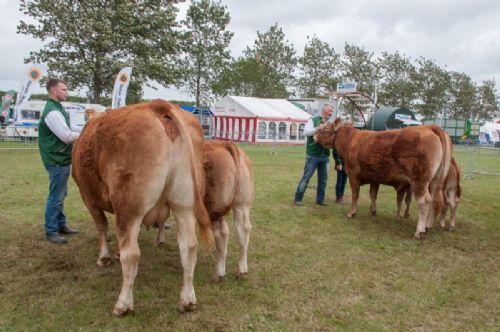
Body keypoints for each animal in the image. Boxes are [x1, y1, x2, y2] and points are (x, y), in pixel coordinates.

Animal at [71, 99, 212, 316]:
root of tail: (158, 105)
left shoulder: (88, 197)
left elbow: (101, 226)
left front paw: (104, 257)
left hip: (129, 207)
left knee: (132, 254)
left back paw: (123, 304)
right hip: (184, 204)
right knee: (189, 246)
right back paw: (187, 301)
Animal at [157, 141, 254, 278]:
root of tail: (223, 144)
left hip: (211, 207)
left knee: (221, 233)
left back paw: (219, 272)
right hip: (241, 204)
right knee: (242, 230)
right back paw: (241, 270)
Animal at [314, 119, 452, 239]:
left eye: (324, 129)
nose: (314, 134)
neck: (351, 140)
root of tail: (428, 127)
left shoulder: (353, 175)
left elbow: (355, 195)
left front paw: (351, 213)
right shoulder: (375, 179)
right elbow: (373, 195)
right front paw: (373, 211)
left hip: (419, 180)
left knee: (424, 201)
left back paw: (419, 231)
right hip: (434, 181)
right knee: (433, 200)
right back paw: (427, 226)